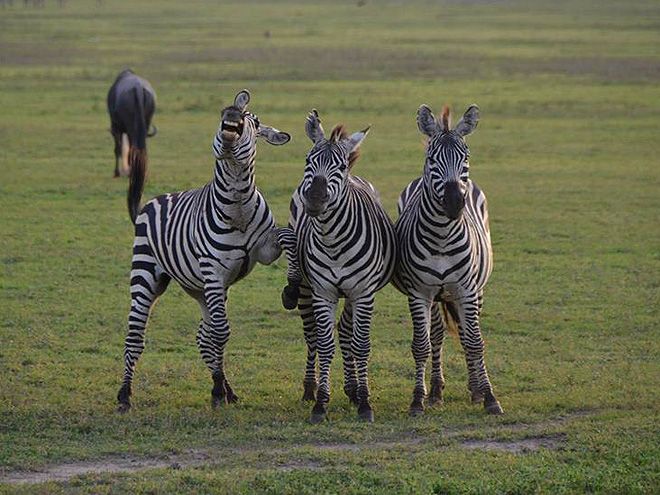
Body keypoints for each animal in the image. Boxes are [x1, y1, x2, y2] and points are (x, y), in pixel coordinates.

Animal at [116, 90, 292, 414]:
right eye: (223, 113)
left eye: (254, 122)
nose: (233, 113)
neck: (237, 208)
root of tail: (147, 204)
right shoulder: (214, 269)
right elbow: (222, 333)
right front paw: (217, 393)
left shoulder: (263, 251)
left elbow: (286, 235)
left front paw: (291, 287)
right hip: (147, 275)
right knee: (136, 337)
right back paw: (124, 395)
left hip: (202, 289)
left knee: (204, 338)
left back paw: (227, 389)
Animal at [280, 110, 398, 424]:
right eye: (308, 160)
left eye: (340, 166)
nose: (314, 200)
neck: (334, 241)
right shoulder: (323, 292)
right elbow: (325, 344)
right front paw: (321, 403)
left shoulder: (363, 293)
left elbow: (360, 344)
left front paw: (365, 402)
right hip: (306, 288)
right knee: (311, 335)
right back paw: (310, 387)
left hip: (354, 295)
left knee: (346, 333)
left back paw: (354, 389)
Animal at [392, 102, 506, 416]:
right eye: (432, 158)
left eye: (465, 157)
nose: (455, 203)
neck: (442, 235)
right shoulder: (420, 292)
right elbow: (422, 345)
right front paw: (418, 399)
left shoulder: (467, 290)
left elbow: (475, 341)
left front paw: (489, 397)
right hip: (436, 297)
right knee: (438, 336)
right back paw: (436, 392)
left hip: (476, 290)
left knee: (467, 333)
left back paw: (475, 389)